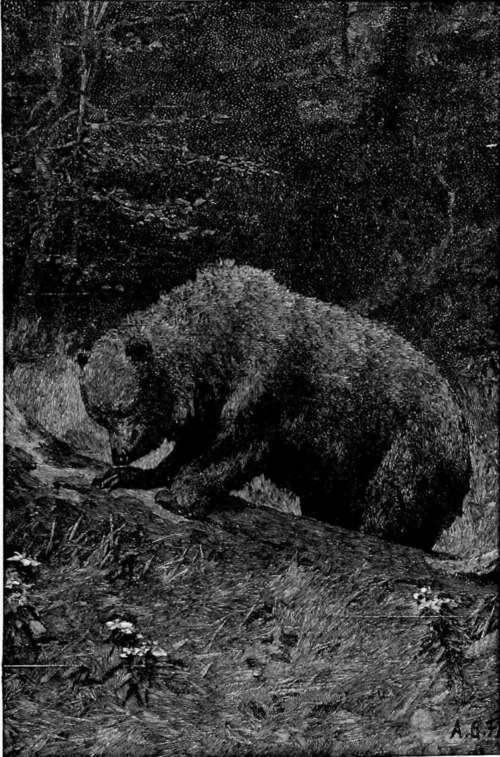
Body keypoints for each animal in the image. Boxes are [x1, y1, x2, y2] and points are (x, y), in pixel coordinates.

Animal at [76, 260, 470, 548]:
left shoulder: (266, 383)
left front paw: (179, 496)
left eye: (126, 407)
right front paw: (130, 475)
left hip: (407, 447)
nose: (120, 453)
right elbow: (191, 445)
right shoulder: (209, 404)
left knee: (392, 504)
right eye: (99, 416)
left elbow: (235, 448)